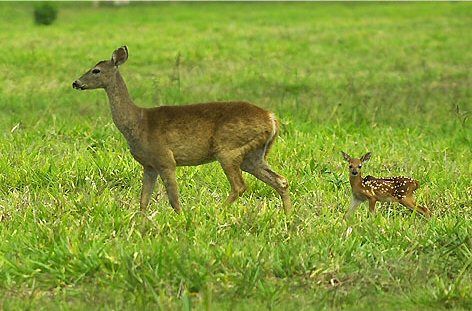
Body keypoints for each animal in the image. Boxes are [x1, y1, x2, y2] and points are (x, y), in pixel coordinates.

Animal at [73, 46, 292, 214]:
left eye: (96, 70)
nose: (76, 83)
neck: (138, 122)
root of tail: (271, 118)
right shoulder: (149, 165)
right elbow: (143, 201)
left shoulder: (165, 159)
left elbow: (174, 200)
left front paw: (182, 218)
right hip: (254, 155)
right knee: (281, 180)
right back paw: (287, 216)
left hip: (228, 148)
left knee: (240, 186)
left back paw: (216, 212)